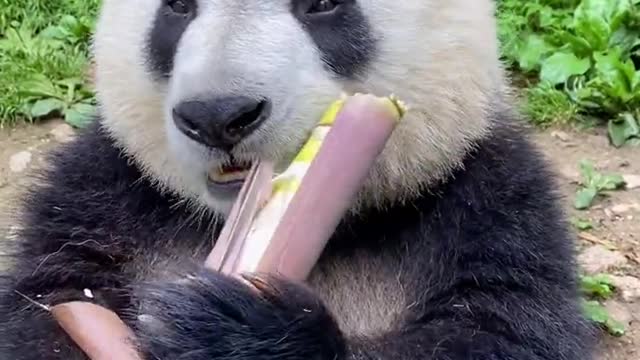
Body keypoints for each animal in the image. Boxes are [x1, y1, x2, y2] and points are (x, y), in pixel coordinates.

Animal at [1, 0, 600, 358]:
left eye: (322, 4)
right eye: (177, 7)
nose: (219, 115)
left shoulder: (490, 206)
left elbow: (501, 332)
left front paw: (235, 332)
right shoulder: (101, 198)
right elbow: (43, 306)